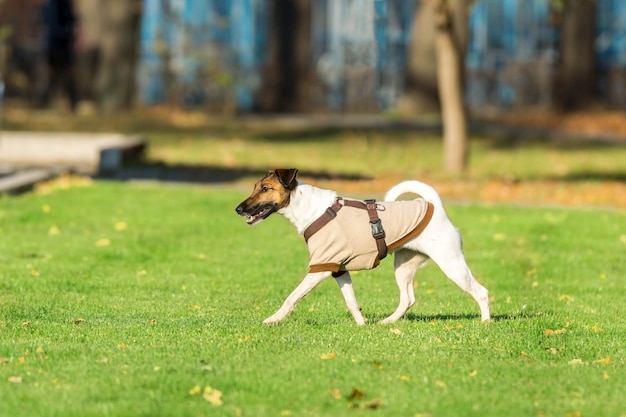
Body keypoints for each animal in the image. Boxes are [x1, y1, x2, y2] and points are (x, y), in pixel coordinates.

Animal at [234, 167, 488, 324]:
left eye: (265, 189)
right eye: (255, 187)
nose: (238, 209)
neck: (309, 209)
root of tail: (435, 206)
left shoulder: (320, 268)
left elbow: (292, 297)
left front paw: (273, 319)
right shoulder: (338, 269)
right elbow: (352, 302)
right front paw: (362, 325)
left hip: (451, 264)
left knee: (481, 292)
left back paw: (485, 323)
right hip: (403, 266)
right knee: (407, 299)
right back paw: (387, 322)